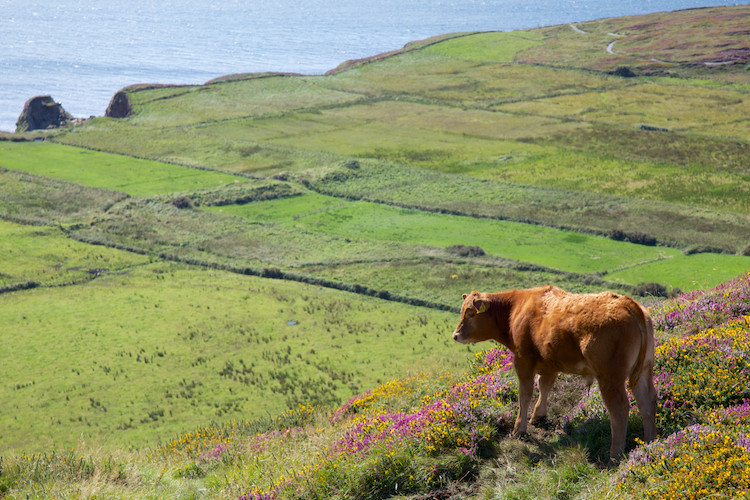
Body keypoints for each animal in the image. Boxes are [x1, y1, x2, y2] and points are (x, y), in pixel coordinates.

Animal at [452, 286, 656, 460]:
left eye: (471, 313)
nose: (455, 335)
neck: (515, 310)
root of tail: (628, 303)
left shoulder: (523, 360)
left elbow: (525, 394)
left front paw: (519, 428)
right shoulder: (549, 362)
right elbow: (545, 386)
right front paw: (538, 416)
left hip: (610, 376)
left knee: (619, 408)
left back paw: (615, 455)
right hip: (644, 370)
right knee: (647, 401)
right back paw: (650, 443)